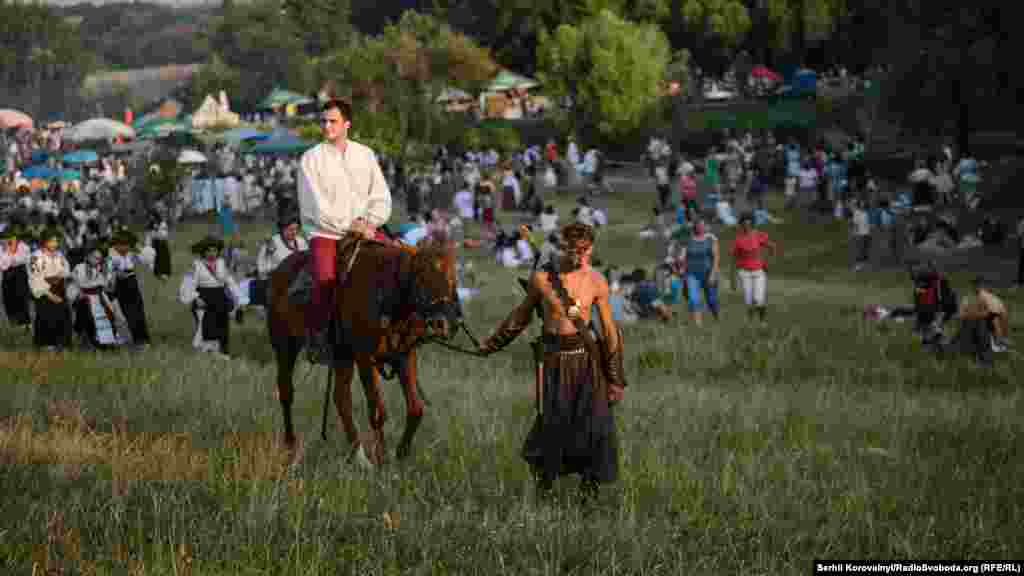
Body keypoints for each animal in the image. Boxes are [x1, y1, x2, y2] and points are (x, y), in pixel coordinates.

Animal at [266, 235, 458, 463]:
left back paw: (357, 455)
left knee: (341, 398)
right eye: (421, 277)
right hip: (285, 346)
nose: (442, 323)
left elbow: (415, 409)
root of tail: (278, 271)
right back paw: (291, 447)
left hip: (342, 355)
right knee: (286, 392)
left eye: (452, 279)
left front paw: (401, 453)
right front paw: (382, 458)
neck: (387, 296)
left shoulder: (403, 356)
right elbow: (377, 410)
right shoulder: (366, 358)